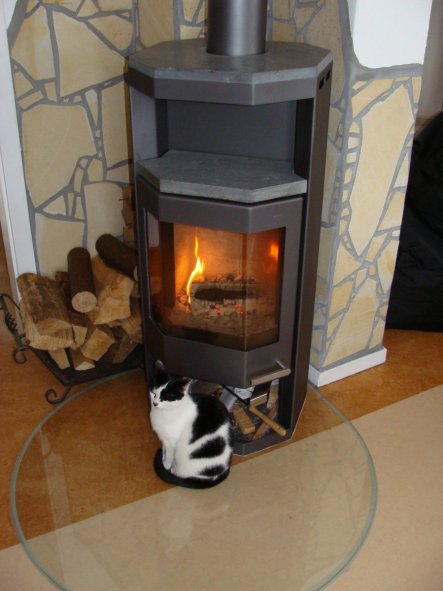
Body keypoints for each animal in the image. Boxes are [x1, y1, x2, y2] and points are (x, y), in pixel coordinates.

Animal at [149, 360, 234, 490]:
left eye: (166, 397)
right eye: (154, 393)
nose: (155, 403)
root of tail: (223, 472)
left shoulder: (171, 441)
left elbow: (169, 456)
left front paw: (166, 465)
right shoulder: (163, 438)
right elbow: (164, 450)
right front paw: (163, 458)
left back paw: (173, 471)